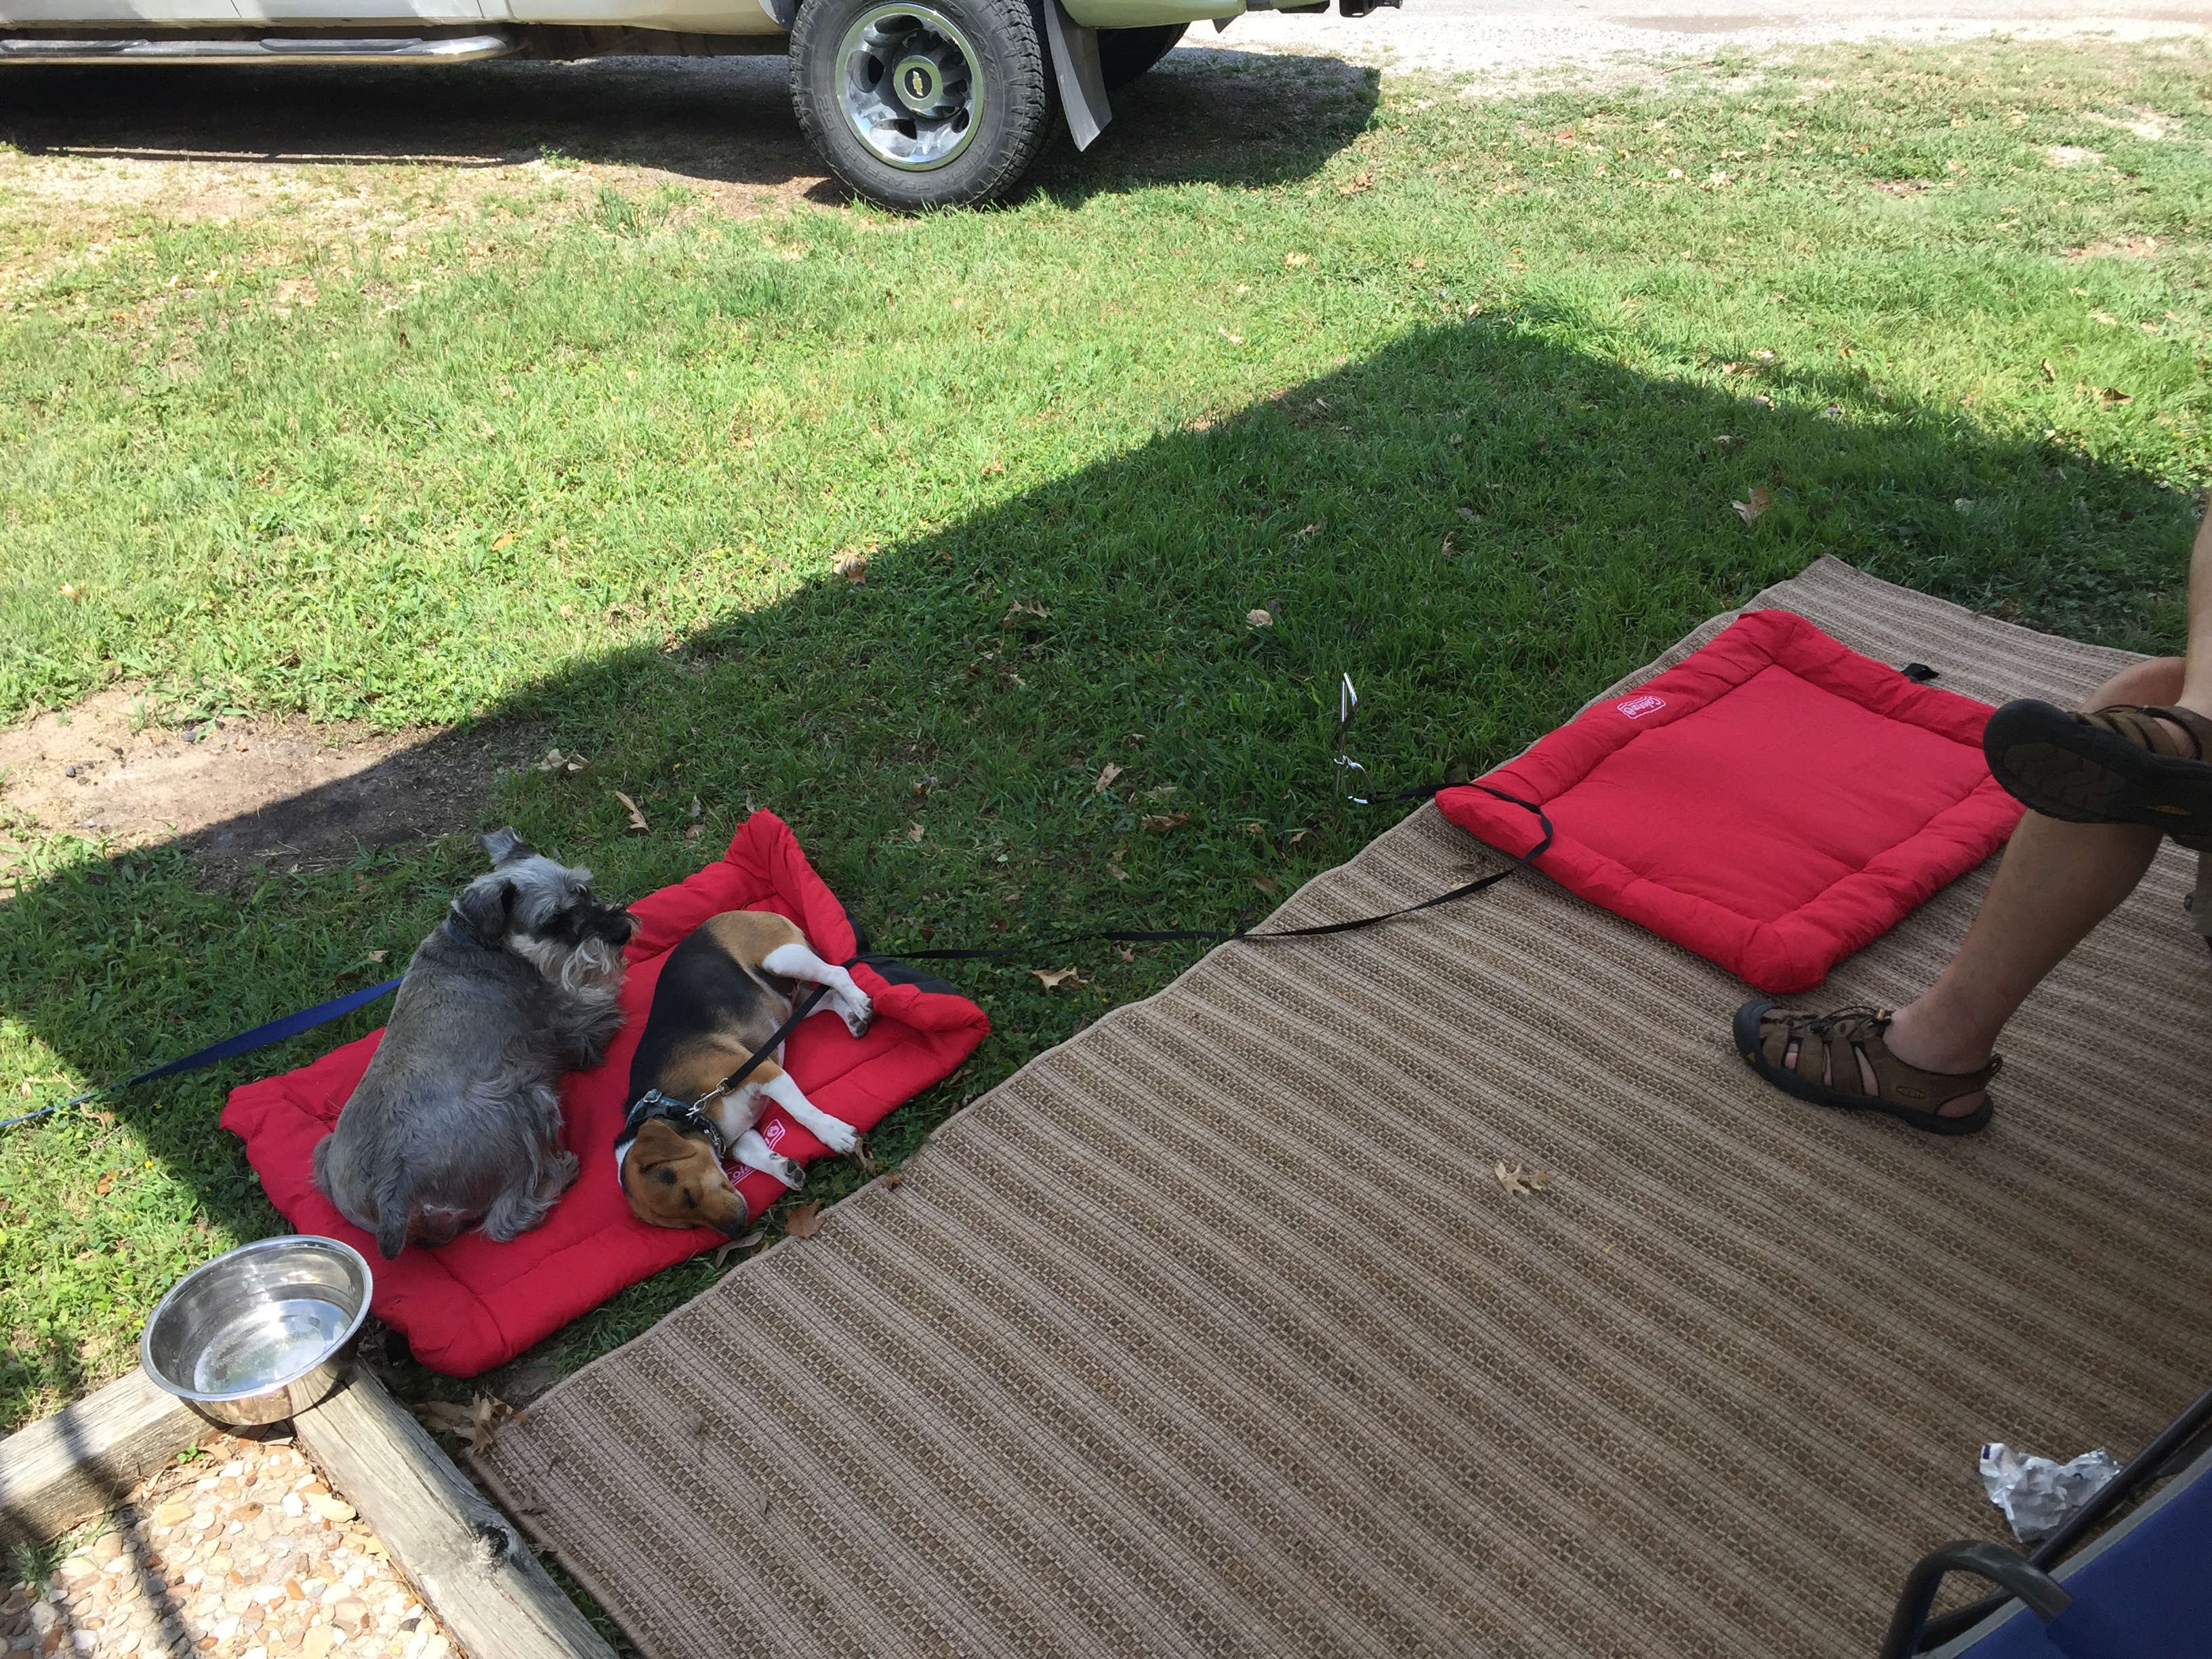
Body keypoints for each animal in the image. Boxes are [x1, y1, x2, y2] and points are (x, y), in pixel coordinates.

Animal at [313, 827, 635, 1259]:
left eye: (584, 890)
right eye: (554, 919)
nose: (622, 932)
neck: (481, 943)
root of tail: (392, 1197)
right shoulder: (559, 1029)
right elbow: (592, 1010)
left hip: (323, 1151)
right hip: (520, 1098)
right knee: (507, 1219)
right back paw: (559, 1174)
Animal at [616, 910, 872, 1236]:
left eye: (687, 1196)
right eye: (688, 1225)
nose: (737, 1230)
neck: (681, 1108)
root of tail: (742, 912)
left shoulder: (761, 1072)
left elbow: (804, 1113)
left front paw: (835, 1135)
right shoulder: (735, 1136)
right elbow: (757, 1155)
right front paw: (784, 1169)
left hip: (783, 958)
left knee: (836, 973)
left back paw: (860, 1004)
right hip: (792, 1005)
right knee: (824, 997)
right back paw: (852, 1017)